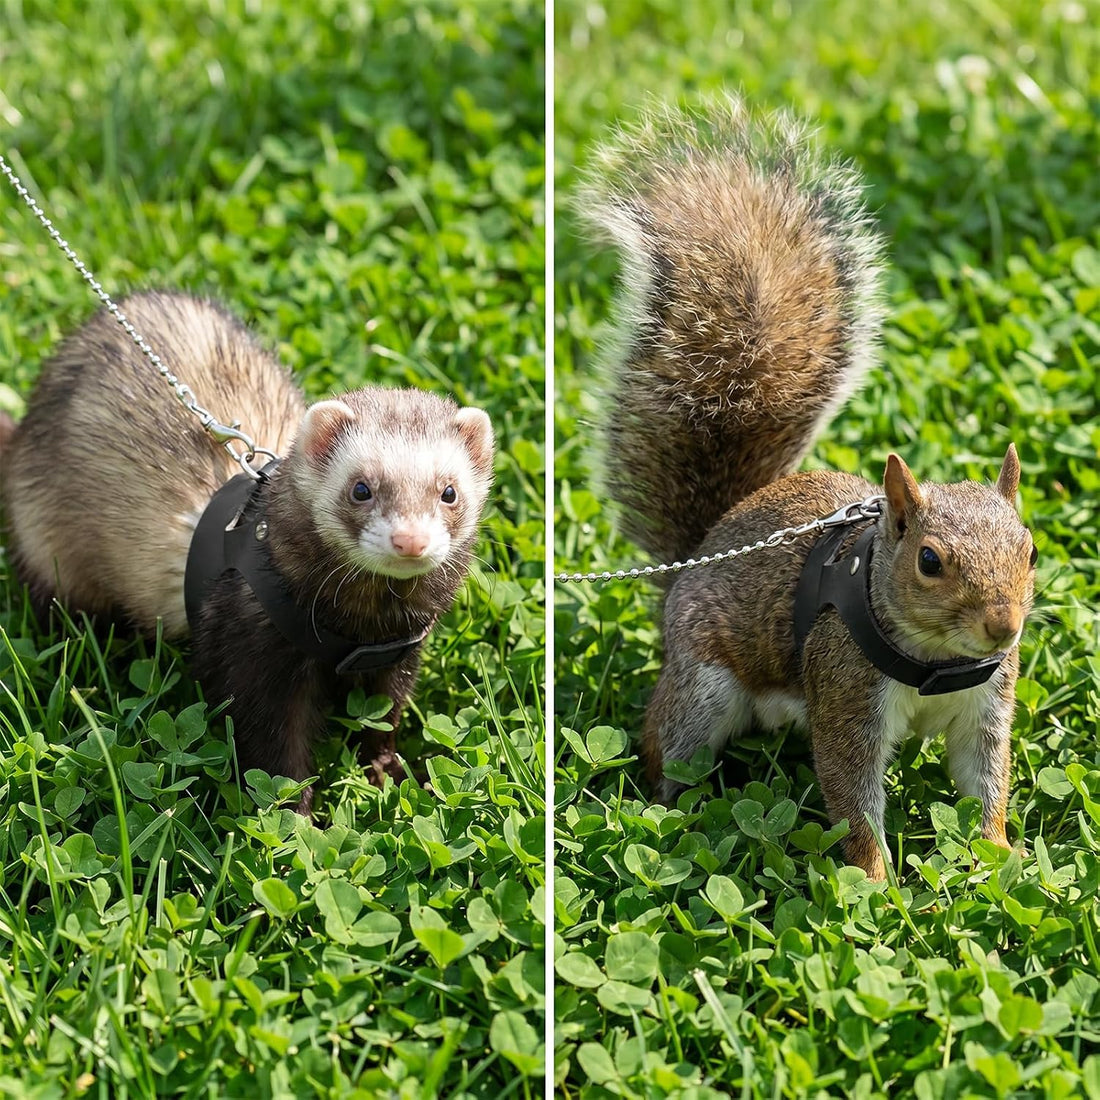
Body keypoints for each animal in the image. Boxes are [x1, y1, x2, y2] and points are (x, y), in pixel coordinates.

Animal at [576, 96, 1036, 881]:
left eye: (1030, 550)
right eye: (929, 561)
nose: (1003, 627)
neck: (939, 663)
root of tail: (697, 554)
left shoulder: (986, 706)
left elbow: (985, 779)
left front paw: (999, 856)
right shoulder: (847, 694)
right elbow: (853, 794)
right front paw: (875, 884)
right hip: (704, 686)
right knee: (667, 743)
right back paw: (670, 812)